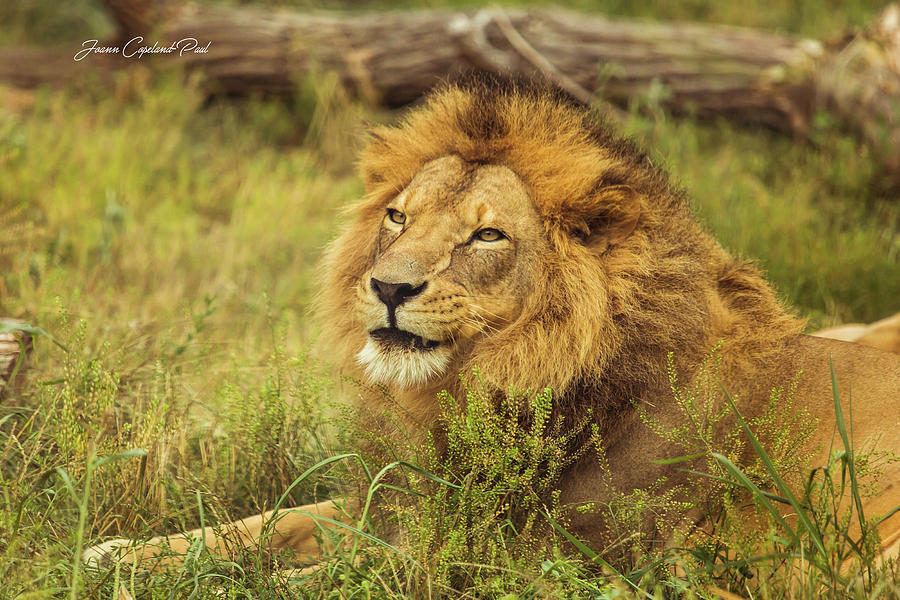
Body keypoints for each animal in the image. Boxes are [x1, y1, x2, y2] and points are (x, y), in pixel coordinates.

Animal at [84, 76, 900, 574]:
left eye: (486, 236)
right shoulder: (408, 496)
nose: (388, 286)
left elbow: (328, 570)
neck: (481, 383)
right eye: (397, 217)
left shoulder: (497, 546)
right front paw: (111, 554)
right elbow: (266, 520)